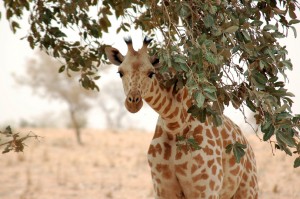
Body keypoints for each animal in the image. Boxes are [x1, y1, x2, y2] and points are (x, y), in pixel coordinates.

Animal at [105, 36, 258, 198]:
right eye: (120, 72)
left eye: (151, 73)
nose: (133, 102)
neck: (175, 123)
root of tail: (249, 150)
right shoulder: (162, 188)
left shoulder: (207, 189)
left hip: (248, 190)